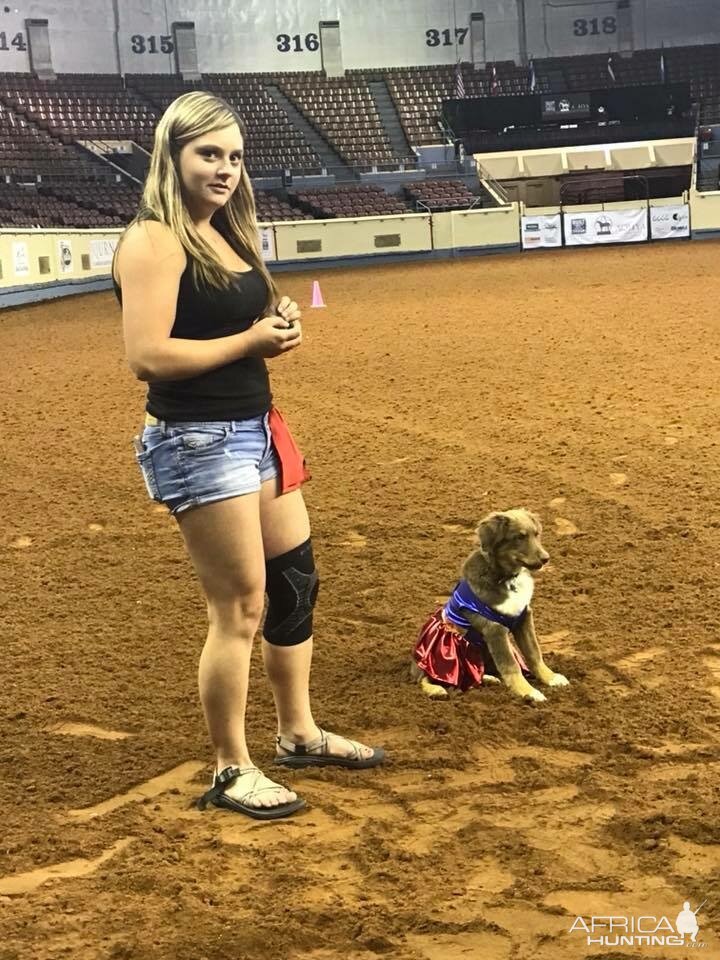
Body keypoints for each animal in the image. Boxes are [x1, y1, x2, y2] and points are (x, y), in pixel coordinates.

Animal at [414, 510, 572, 704]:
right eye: (519, 537)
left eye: (536, 534)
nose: (546, 559)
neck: (507, 578)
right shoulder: (495, 629)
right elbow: (511, 665)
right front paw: (529, 692)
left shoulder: (524, 619)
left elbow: (534, 653)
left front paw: (551, 678)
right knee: (423, 678)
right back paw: (436, 690)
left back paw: (489, 678)